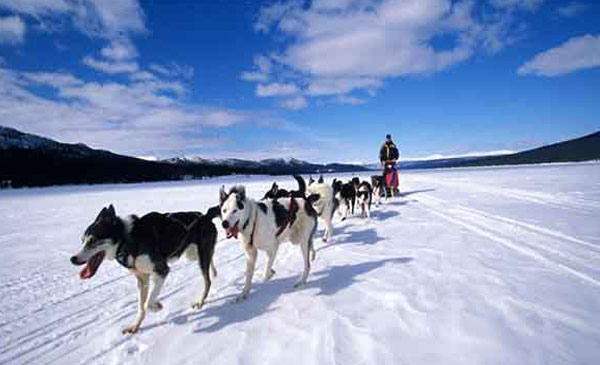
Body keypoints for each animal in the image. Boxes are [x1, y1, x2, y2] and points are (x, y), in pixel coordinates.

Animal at [70, 205, 220, 332]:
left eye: (93, 240)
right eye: (82, 240)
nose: (73, 259)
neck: (129, 239)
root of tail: (205, 216)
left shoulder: (162, 271)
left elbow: (147, 303)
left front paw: (157, 306)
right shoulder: (142, 279)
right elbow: (141, 307)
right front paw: (135, 326)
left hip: (200, 257)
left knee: (207, 281)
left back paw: (200, 301)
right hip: (192, 255)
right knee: (210, 259)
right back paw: (214, 271)